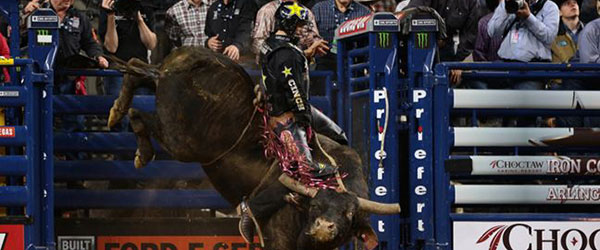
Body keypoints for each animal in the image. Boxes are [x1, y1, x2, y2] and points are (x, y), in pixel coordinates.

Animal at [106, 46, 400, 248]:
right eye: (315, 206)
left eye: (348, 214)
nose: (323, 228)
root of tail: (196, 59)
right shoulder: (279, 236)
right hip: (181, 140)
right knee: (140, 114)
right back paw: (140, 146)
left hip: (165, 96)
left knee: (137, 68)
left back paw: (117, 109)